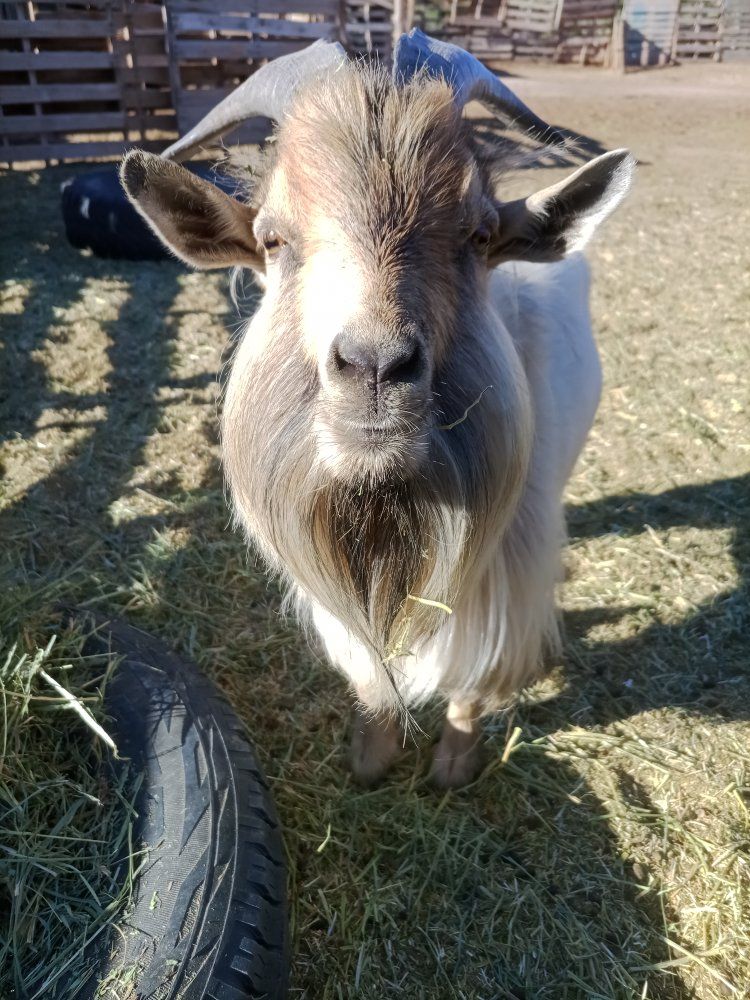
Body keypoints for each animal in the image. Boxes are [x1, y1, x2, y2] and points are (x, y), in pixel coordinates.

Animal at [121, 31, 634, 787]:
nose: (374, 368)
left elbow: (471, 682)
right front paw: (371, 757)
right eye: (272, 239)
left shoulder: (504, 576)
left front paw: (452, 768)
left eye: (479, 236)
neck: (387, 513)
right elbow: (367, 671)